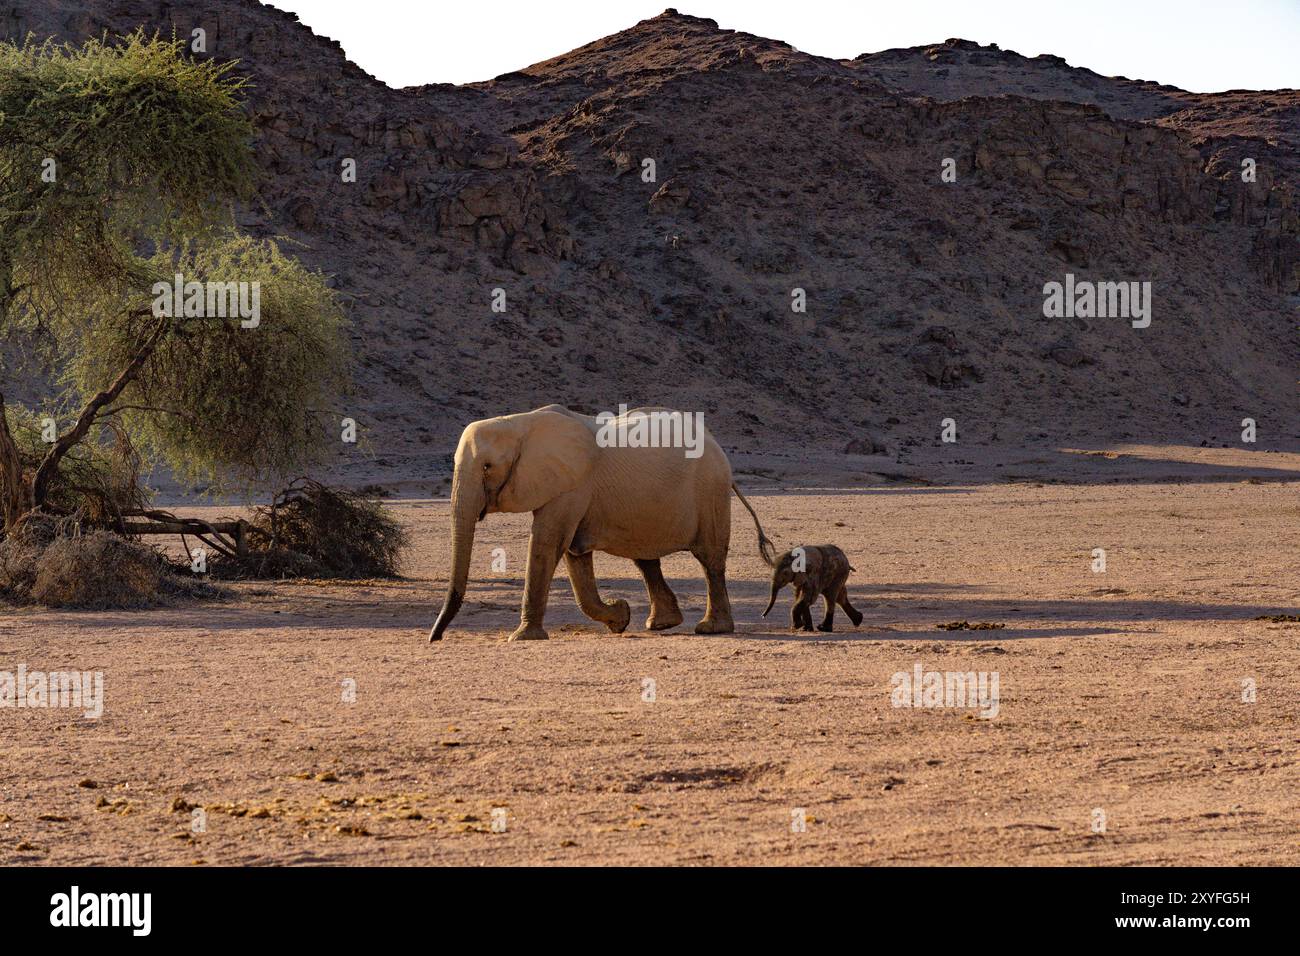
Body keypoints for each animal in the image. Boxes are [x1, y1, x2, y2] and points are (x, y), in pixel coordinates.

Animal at [426, 403, 769, 642]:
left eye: (487, 467)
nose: (435, 638)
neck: (519, 423)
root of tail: (714, 441)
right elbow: (573, 554)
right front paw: (620, 618)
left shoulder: (572, 482)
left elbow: (548, 543)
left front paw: (522, 638)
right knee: (645, 559)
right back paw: (660, 624)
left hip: (711, 490)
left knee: (709, 559)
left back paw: (711, 629)